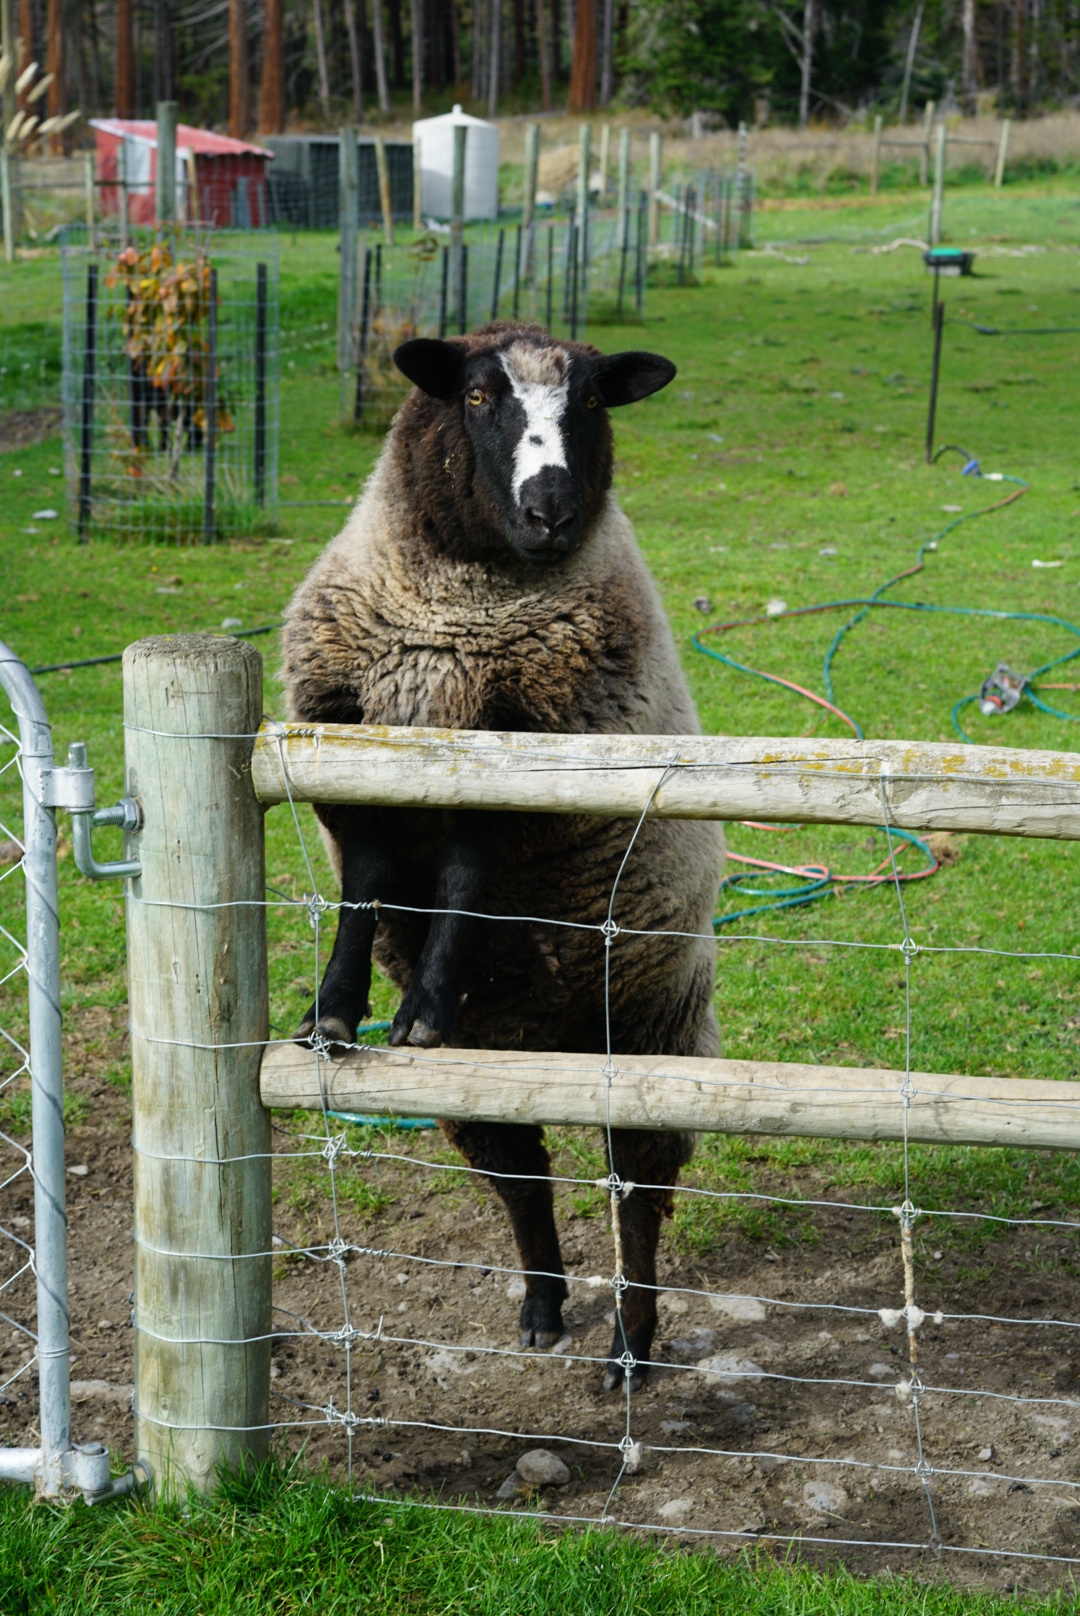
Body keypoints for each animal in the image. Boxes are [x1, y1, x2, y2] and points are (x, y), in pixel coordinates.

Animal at [282, 318, 724, 1389]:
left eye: (595, 402)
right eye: (477, 396)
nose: (551, 509)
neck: (461, 610)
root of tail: (549, 1041)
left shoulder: (522, 746)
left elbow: (462, 878)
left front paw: (419, 1009)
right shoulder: (354, 736)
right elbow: (366, 888)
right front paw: (333, 1016)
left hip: (648, 1032)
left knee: (636, 1193)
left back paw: (629, 1345)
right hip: (493, 1057)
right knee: (521, 1176)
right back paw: (542, 1308)